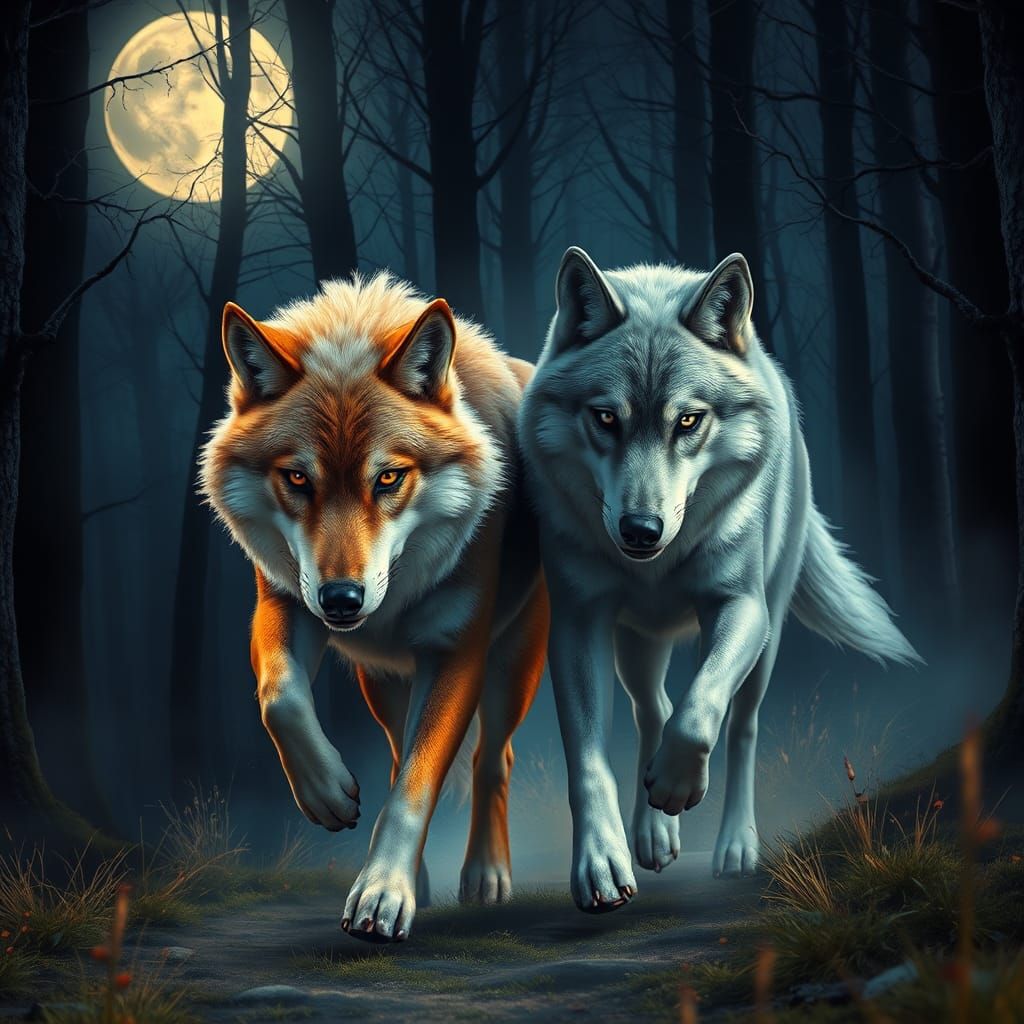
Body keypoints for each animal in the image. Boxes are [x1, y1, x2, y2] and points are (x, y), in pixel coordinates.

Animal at [201, 273, 548, 941]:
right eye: (298, 479)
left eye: (388, 478)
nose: (342, 598)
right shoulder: (284, 601)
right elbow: (280, 698)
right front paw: (327, 793)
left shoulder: (454, 653)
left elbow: (416, 785)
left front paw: (384, 892)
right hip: (380, 681)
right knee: (393, 754)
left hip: (512, 665)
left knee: (494, 757)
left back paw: (486, 877)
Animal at [518, 247, 919, 911]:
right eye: (605, 418)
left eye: (687, 420)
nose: (641, 530)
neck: (655, 567)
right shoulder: (578, 623)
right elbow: (589, 759)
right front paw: (602, 864)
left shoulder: (740, 606)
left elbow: (701, 708)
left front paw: (678, 784)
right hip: (636, 642)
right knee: (650, 705)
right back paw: (652, 835)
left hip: (767, 634)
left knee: (741, 726)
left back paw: (733, 846)